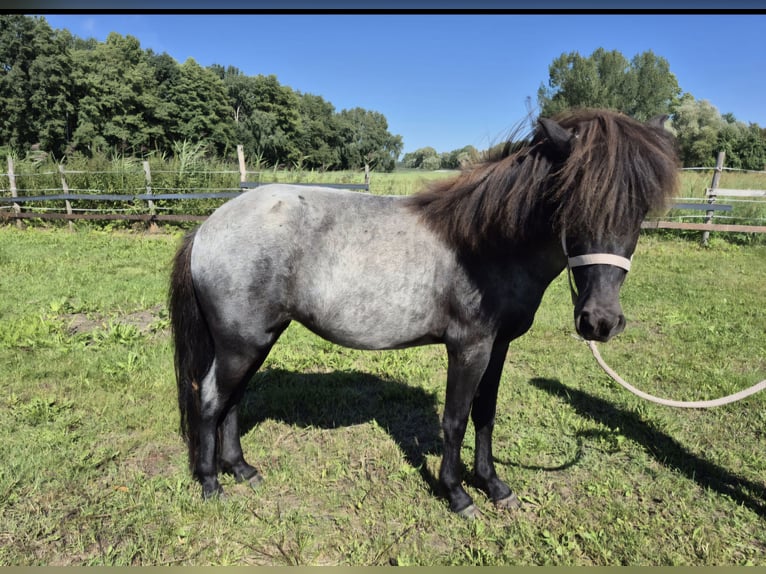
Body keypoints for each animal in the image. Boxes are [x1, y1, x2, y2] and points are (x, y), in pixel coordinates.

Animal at [169, 109, 680, 518]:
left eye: (639, 209)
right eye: (573, 200)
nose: (600, 321)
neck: (486, 245)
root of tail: (208, 226)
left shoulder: (497, 348)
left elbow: (485, 414)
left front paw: (495, 486)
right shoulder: (468, 348)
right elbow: (454, 420)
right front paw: (458, 494)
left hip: (256, 340)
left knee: (233, 400)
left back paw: (242, 469)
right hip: (241, 343)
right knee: (211, 399)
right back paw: (211, 483)